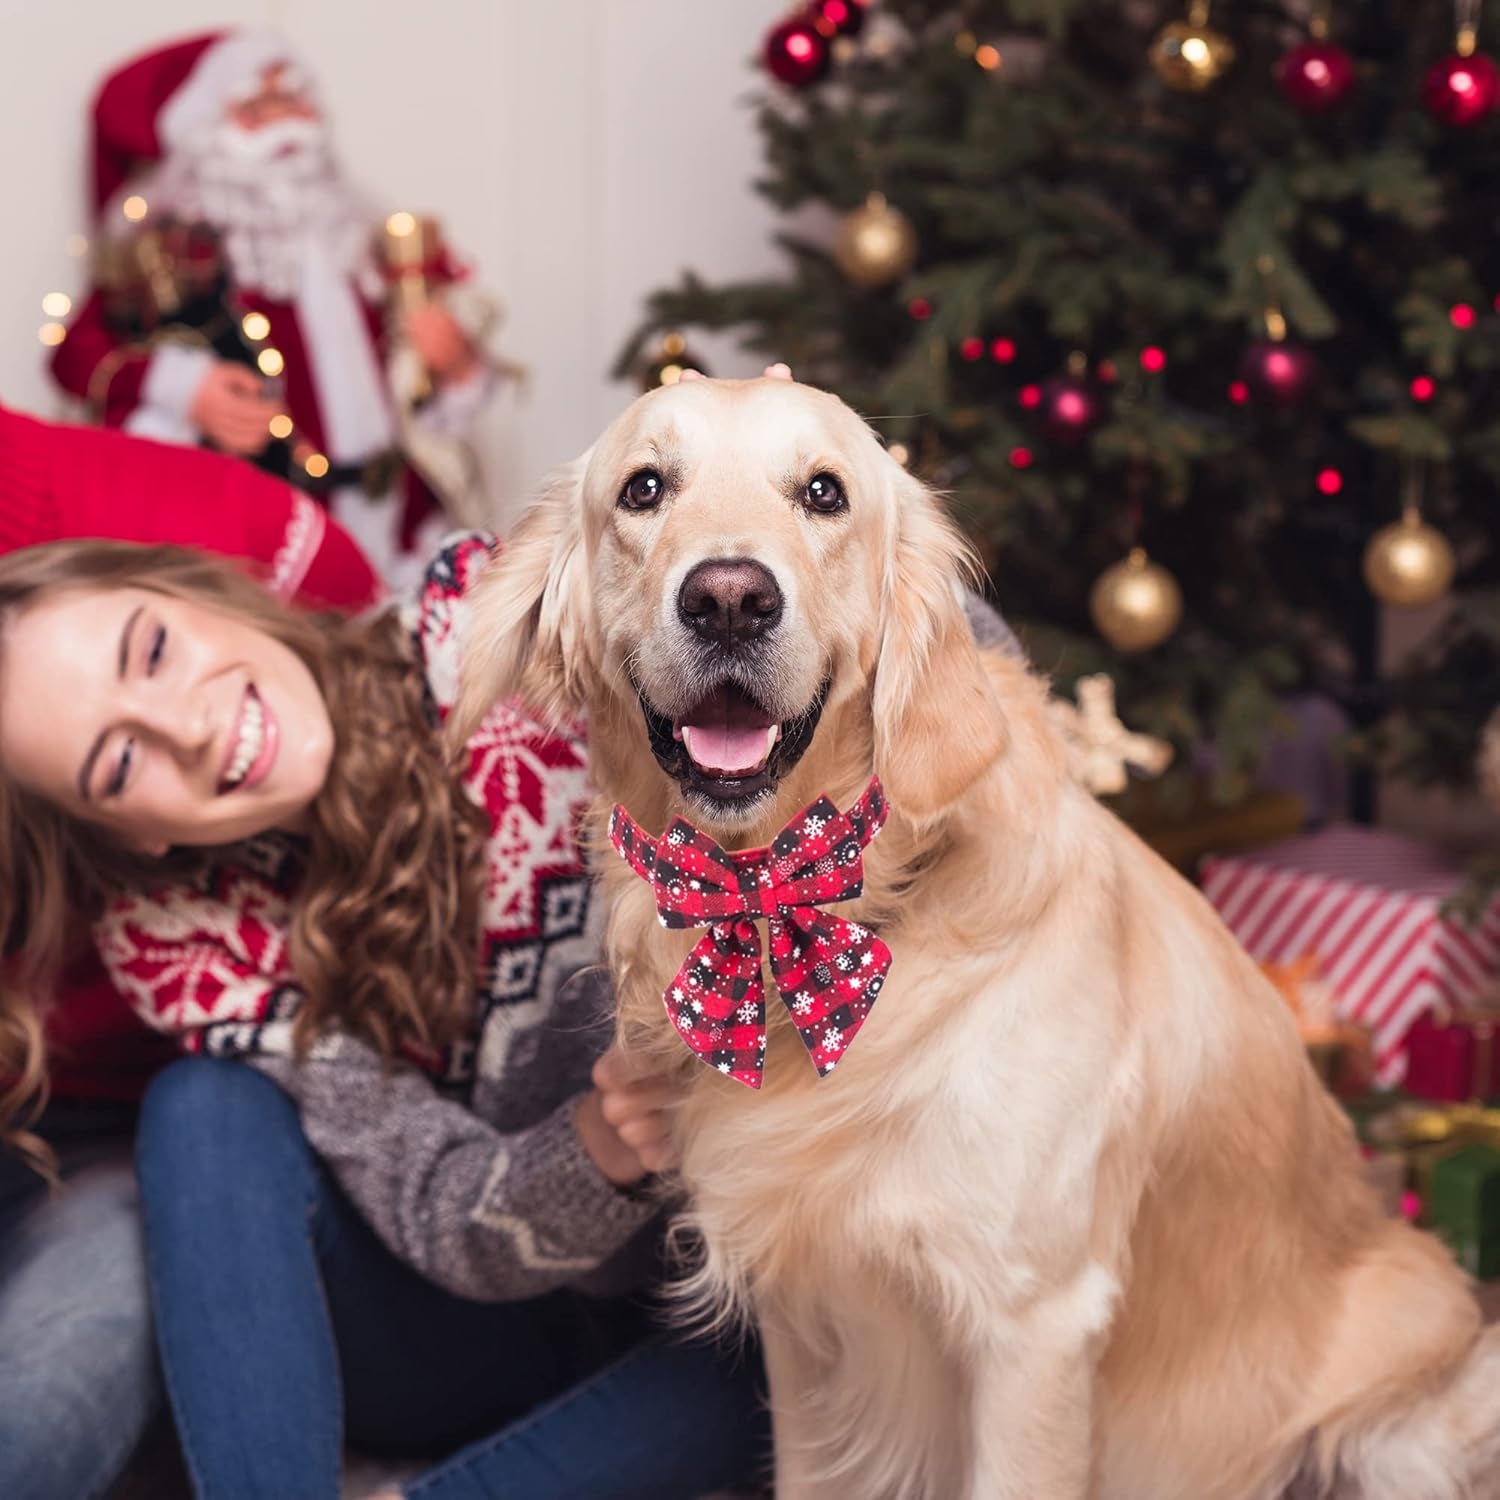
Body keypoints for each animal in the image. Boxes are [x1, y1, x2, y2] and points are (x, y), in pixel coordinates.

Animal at [450, 378, 1500, 1500]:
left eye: (824, 492)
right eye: (644, 488)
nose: (729, 600)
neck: (814, 907)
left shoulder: (1033, 1324)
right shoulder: (804, 1323)